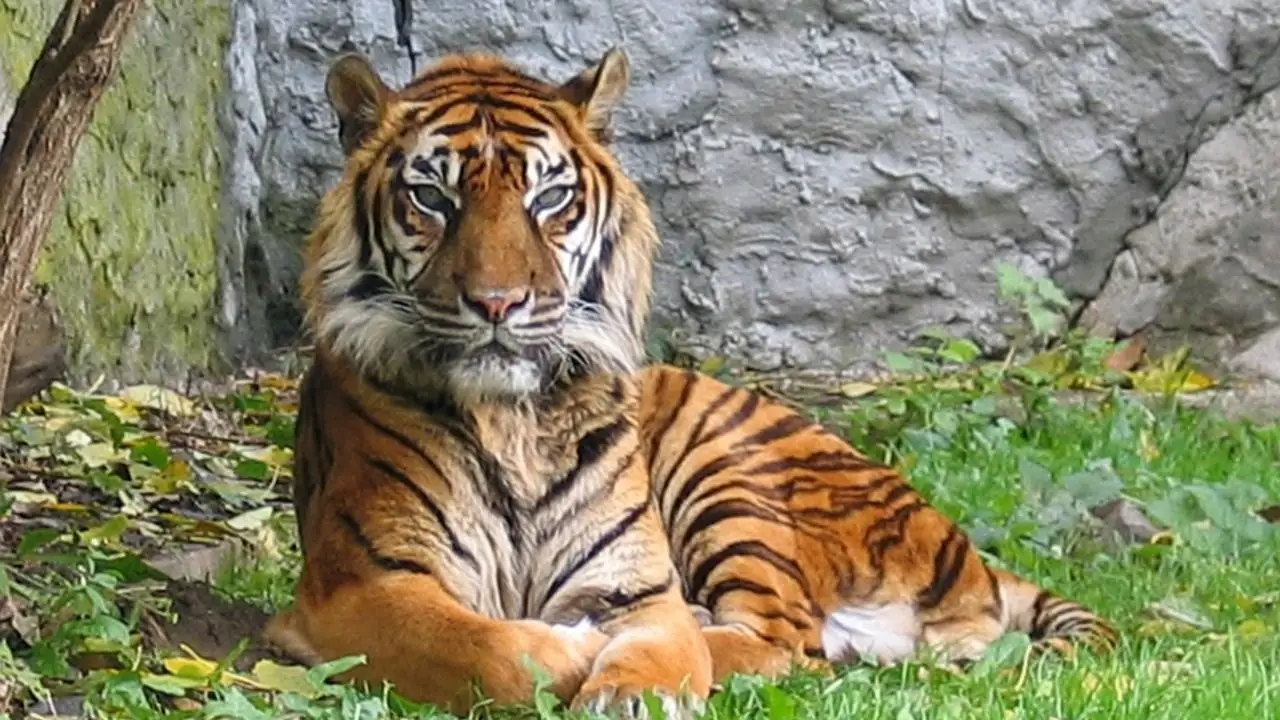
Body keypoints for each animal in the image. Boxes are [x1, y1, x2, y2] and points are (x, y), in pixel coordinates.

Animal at [263, 45, 1118, 717]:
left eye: (549, 198)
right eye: (431, 198)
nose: (499, 302)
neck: (514, 420)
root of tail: (966, 553)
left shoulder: (637, 590)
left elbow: (663, 646)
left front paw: (632, 686)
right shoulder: (363, 585)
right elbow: (489, 648)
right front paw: (571, 652)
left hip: (726, 472)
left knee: (787, 639)